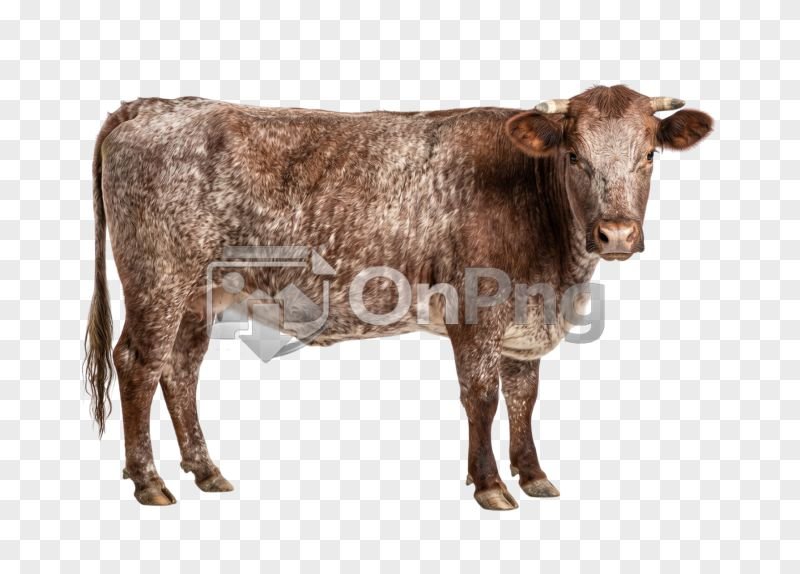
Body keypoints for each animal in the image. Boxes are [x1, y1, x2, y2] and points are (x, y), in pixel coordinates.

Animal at [84, 85, 713, 510]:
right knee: (139, 363)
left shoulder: (524, 322)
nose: (616, 235)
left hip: (200, 293)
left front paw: (533, 475)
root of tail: (155, 105)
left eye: (649, 155)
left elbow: (524, 398)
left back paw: (204, 470)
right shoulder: (475, 311)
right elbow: (482, 399)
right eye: (576, 156)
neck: (559, 276)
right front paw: (490, 485)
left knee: (180, 369)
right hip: (158, 277)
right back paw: (150, 481)